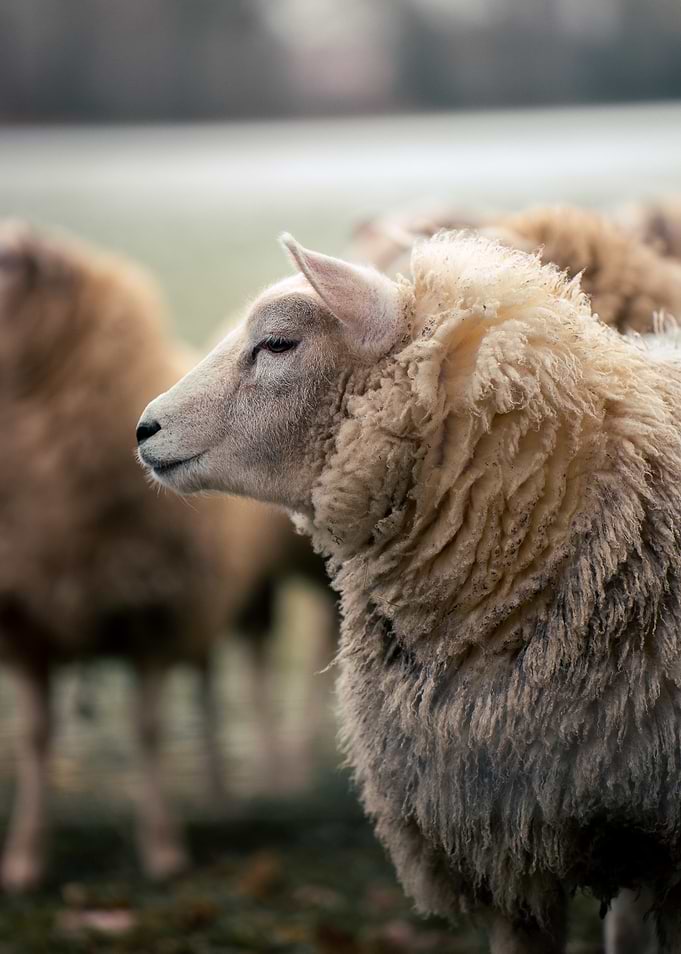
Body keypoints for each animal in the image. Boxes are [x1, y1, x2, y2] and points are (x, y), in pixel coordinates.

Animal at [0, 221, 331, 893]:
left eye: (6, 264)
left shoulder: (151, 608)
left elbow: (147, 731)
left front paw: (161, 850)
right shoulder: (28, 619)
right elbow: (34, 737)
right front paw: (24, 857)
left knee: (266, 670)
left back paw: (271, 776)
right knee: (210, 679)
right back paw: (219, 787)